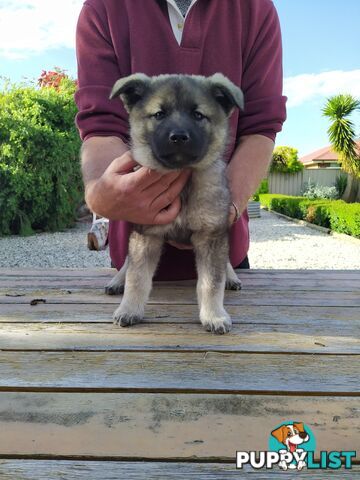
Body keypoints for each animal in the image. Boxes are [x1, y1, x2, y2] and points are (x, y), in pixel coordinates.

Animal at [105, 72, 243, 334]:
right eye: (159, 114)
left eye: (198, 115)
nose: (178, 137)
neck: (183, 178)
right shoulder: (146, 233)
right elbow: (137, 278)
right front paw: (129, 309)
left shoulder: (211, 235)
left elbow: (212, 281)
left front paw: (214, 315)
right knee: (127, 264)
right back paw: (117, 280)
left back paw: (232, 276)